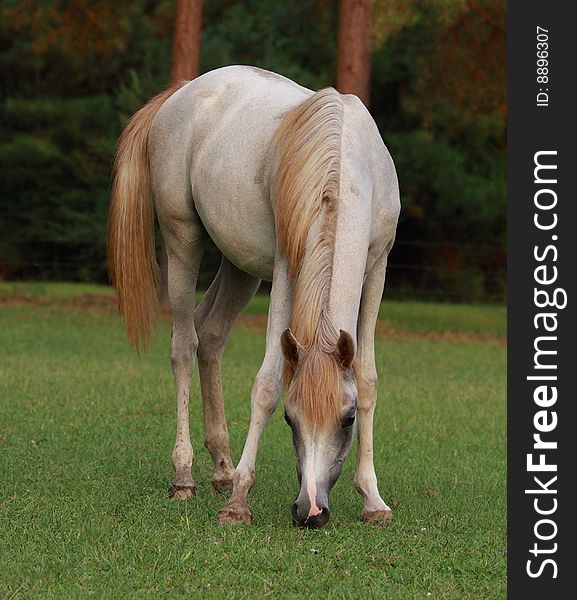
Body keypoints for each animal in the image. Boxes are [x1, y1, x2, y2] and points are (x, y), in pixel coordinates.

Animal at [107, 64, 396, 524]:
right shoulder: (285, 269)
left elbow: (367, 379)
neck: (343, 167)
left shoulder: (378, 266)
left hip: (240, 267)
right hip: (183, 240)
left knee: (210, 334)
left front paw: (373, 499)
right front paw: (239, 501)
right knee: (184, 346)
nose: (310, 511)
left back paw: (222, 467)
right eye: (290, 419)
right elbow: (266, 384)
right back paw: (185, 475)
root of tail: (182, 92)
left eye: (348, 419)